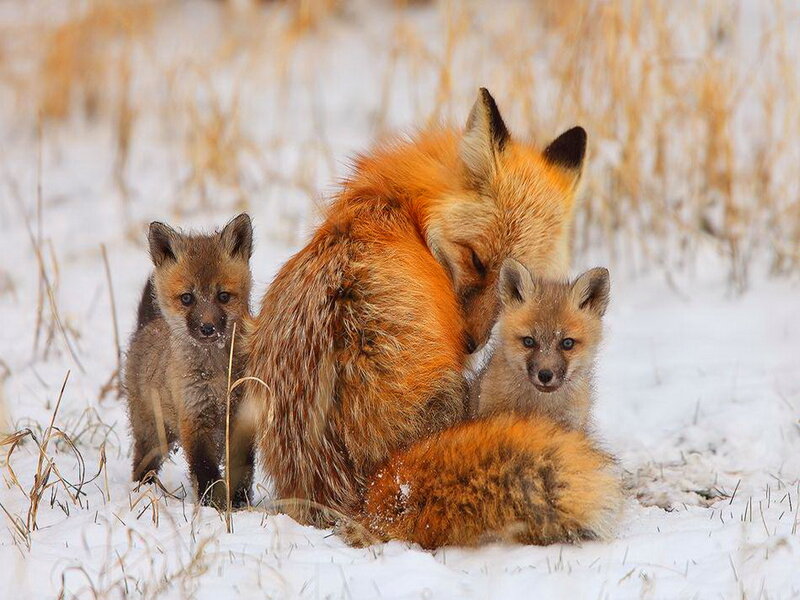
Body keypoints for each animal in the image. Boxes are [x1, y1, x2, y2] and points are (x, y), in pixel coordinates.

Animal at [124, 213, 255, 507]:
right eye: (187, 298)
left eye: (223, 296)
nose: (208, 328)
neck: (217, 377)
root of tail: (146, 327)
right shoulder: (194, 418)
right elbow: (205, 470)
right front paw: (213, 506)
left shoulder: (242, 416)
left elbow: (242, 467)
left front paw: (239, 502)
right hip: (153, 436)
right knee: (142, 466)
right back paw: (143, 492)